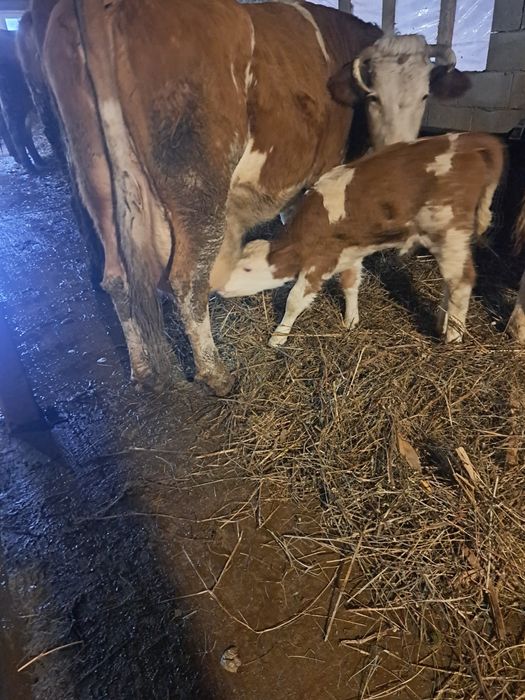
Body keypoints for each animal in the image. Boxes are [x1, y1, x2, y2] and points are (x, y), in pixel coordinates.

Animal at [219, 133, 504, 347]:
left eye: (247, 269)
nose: (218, 286)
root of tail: (468, 140)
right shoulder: (349, 253)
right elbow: (350, 284)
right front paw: (351, 320)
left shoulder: (320, 261)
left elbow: (294, 300)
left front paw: (279, 336)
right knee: (450, 281)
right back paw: (439, 321)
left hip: (449, 232)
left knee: (462, 280)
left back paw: (454, 335)